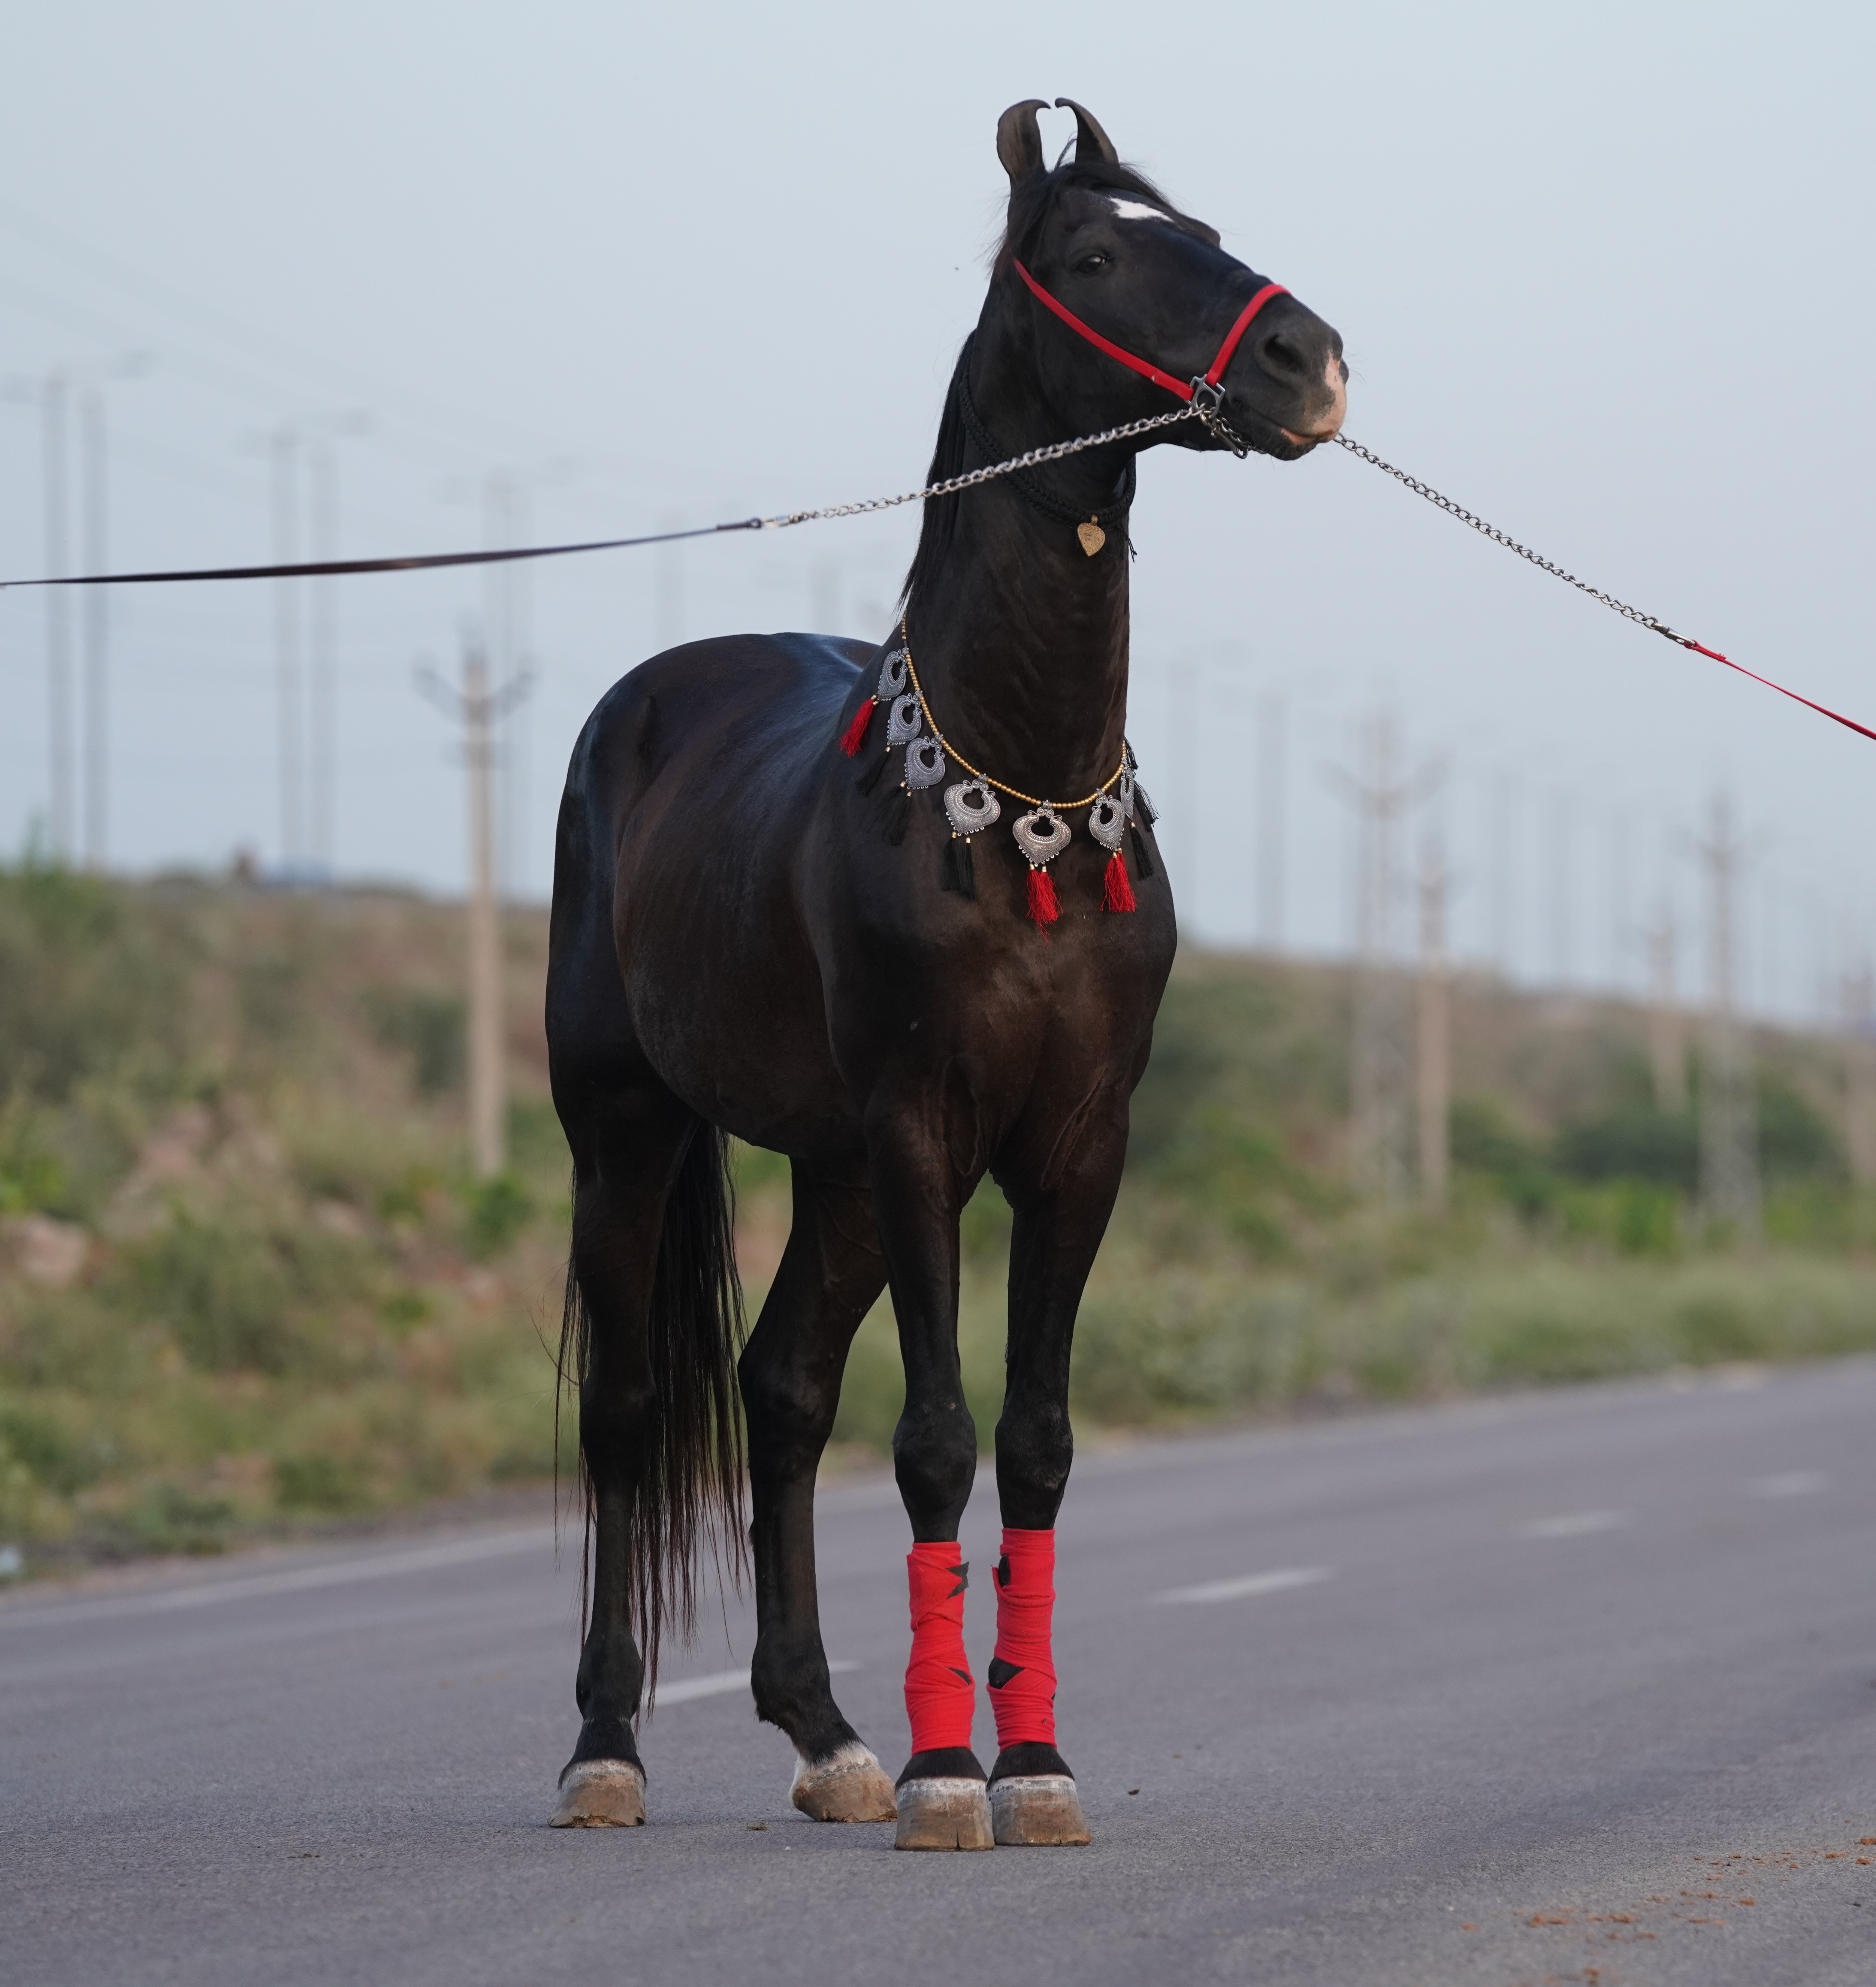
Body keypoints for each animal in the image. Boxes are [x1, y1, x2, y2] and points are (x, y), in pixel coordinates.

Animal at [544, 96, 1346, 1850]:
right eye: (1097, 253)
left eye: (1204, 227)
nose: (1311, 361)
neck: (1022, 804)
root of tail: (647, 704)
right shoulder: (921, 1134)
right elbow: (932, 1438)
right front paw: (941, 1774)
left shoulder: (1074, 1147)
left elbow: (1033, 1442)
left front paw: (1026, 1757)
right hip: (630, 1130)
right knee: (628, 1415)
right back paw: (608, 1747)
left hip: (834, 1171)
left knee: (778, 1391)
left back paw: (823, 1731)